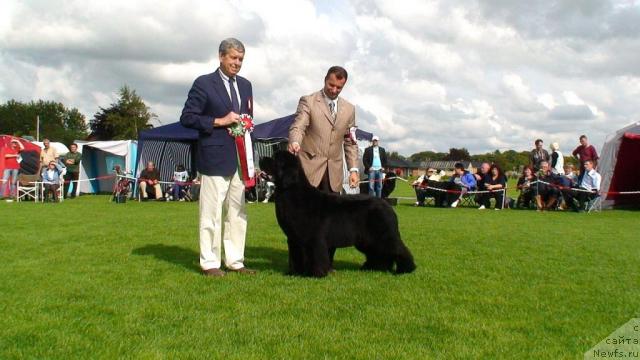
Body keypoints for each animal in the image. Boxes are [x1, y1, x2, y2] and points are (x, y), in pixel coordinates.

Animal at [258, 150, 416, 278]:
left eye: (275, 159)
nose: (260, 158)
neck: (291, 191)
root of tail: (385, 203)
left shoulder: (314, 238)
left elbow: (316, 255)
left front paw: (316, 274)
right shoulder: (294, 238)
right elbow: (295, 256)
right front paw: (294, 273)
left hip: (384, 235)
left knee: (398, 249)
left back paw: (406, 269)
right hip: (367, 240)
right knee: (378, 253)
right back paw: (374, 267)